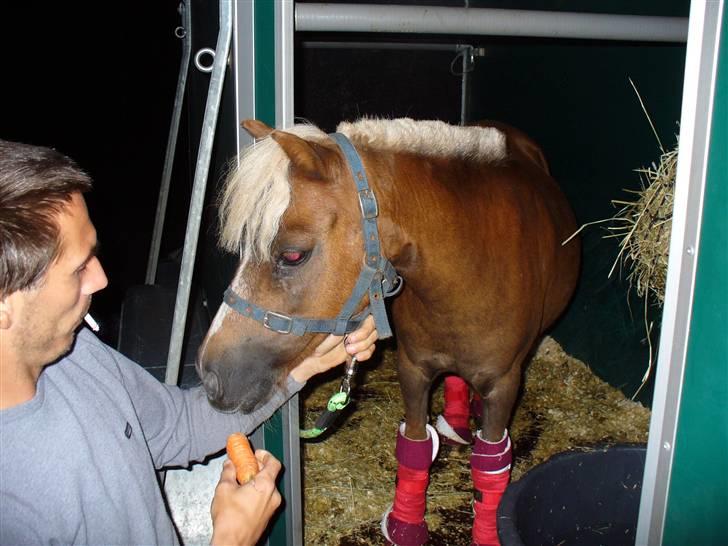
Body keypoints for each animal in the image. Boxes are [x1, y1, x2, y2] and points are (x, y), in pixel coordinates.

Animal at [198, 117, 580, 540]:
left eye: (293, 255)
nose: (209, 374)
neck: (469, 267)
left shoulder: (503, 384)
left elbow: (490, 469)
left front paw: (487, 533)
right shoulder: (413, 369)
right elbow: (414, 448)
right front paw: (405, 525)